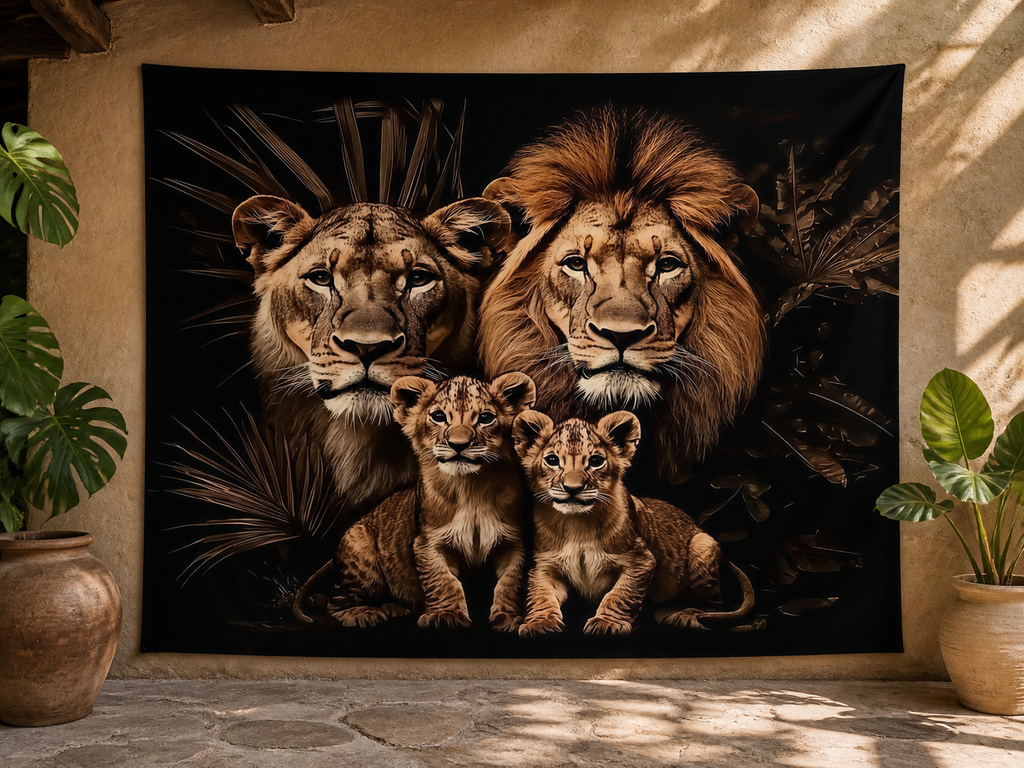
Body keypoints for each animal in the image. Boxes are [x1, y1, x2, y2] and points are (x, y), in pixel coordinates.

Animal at [292, 372, 535, 631]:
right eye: (438, 417)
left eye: (486, 418)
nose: (458, 445)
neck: (471, 489)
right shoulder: (428, 543)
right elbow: (443, 581)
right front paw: (445, 615)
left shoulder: (513, 543)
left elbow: (509, 583)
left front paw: (508, 618)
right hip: (361, 554)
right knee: (335, 600)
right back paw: (362, 614)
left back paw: (394, 609)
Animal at [513, 409, 754, 637]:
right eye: (552, 460)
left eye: (596, 461)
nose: (573, 489)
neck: (577, 524)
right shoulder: (545, 563)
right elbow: (541, 594)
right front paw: (539, 622)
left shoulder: (641, 560)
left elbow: (620, 594)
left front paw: (607, 623)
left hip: (702, 544)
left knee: (712, 604)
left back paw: (686, 616)